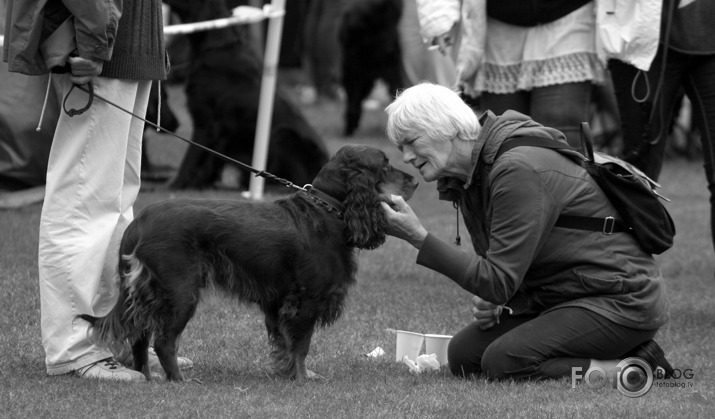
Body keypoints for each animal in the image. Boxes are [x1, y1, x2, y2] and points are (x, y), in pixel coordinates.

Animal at [79, 146, 420, 382]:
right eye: (385, 164)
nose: (416, 180)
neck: (328, 210)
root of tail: (138, 224)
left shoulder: (278, 302)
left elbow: (285, 345)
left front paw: (287, 373)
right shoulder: (305, 300)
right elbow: (302, 345)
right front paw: (302, 378)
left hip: (148, 292)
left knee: (139, 335)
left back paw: (148, 378)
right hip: (180, 291)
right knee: (164, 341)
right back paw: (178, 381)